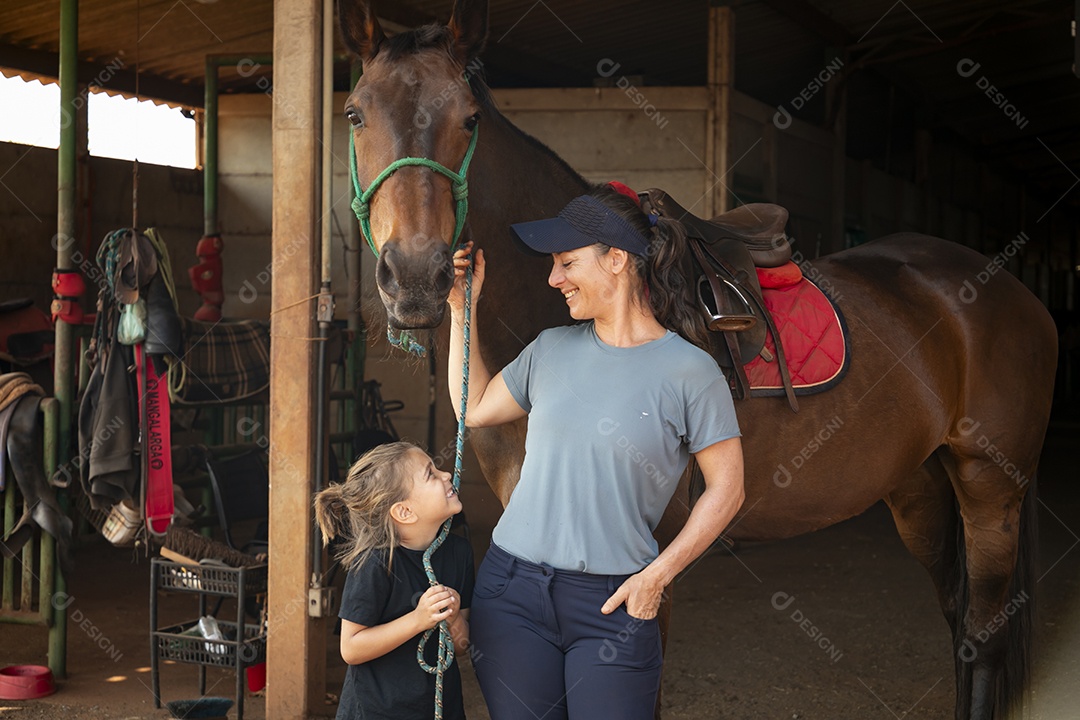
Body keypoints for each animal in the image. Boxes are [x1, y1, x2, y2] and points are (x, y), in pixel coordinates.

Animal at [336, 2, 1054, 716]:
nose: (416, 277)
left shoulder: (651, 557)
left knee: (983, 634)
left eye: (470, 119)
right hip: (918, 486)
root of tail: (1010, 292)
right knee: (958, 621)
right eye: (355, 113)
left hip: (990, 491)